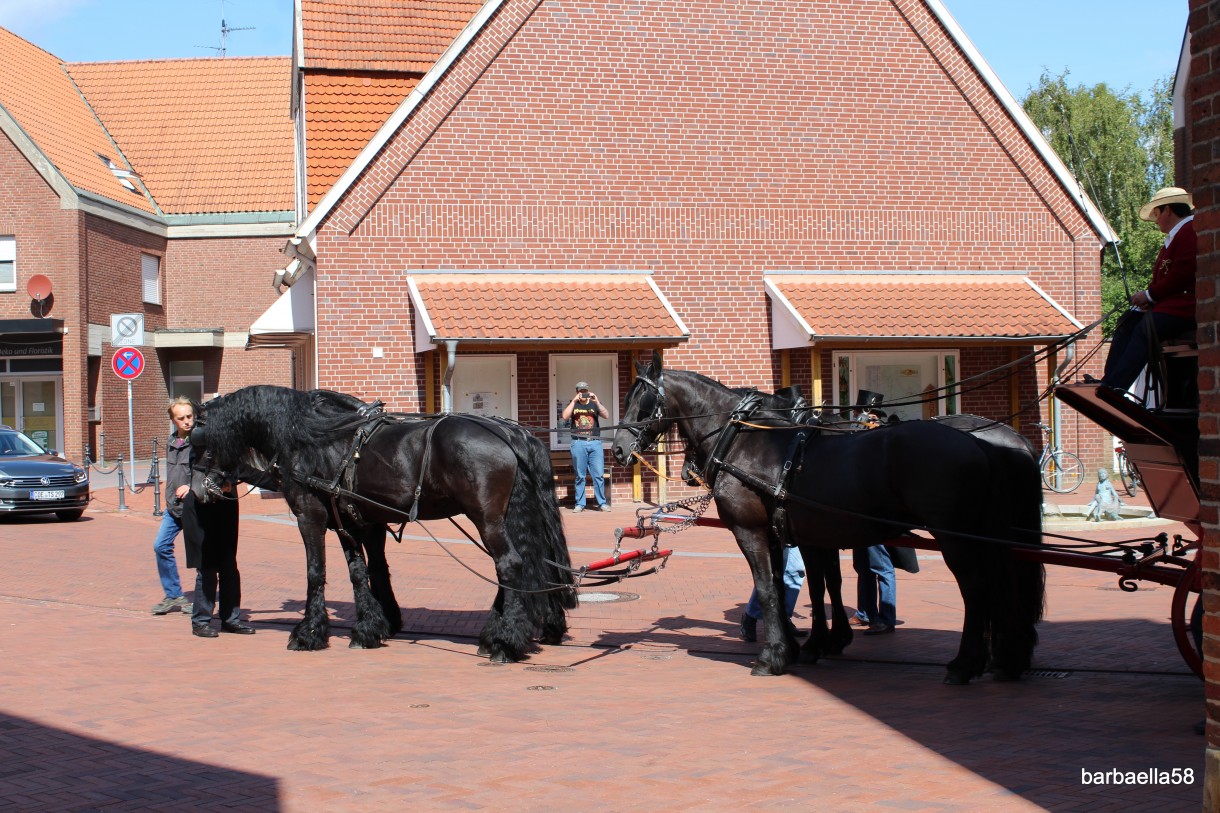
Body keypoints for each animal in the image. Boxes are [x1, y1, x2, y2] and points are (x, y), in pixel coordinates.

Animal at [191, 385, 580, 659]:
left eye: (199, 442)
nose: (196, 490)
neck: (313, 438)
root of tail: (511, 433)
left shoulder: (311, 515)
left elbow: (316, 572)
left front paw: (308, 633)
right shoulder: (354, 520)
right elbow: (364, 571)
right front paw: (373, 626)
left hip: (486, 518)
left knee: (509, 565)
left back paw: (505, 642)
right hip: (507, 516)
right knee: (526, 564)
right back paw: (506, 633)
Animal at [614, 351, 1044, 678]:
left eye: (641, 400)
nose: (617, 449)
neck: (743, 438)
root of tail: (985, 442)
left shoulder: (753, 531)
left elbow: (774, 587)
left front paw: (776, 655)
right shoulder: (792, 534)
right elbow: (803, 585)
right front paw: (801, 644)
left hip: (956, 537)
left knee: (976, 588)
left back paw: (966, 663)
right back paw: (1003, 658)